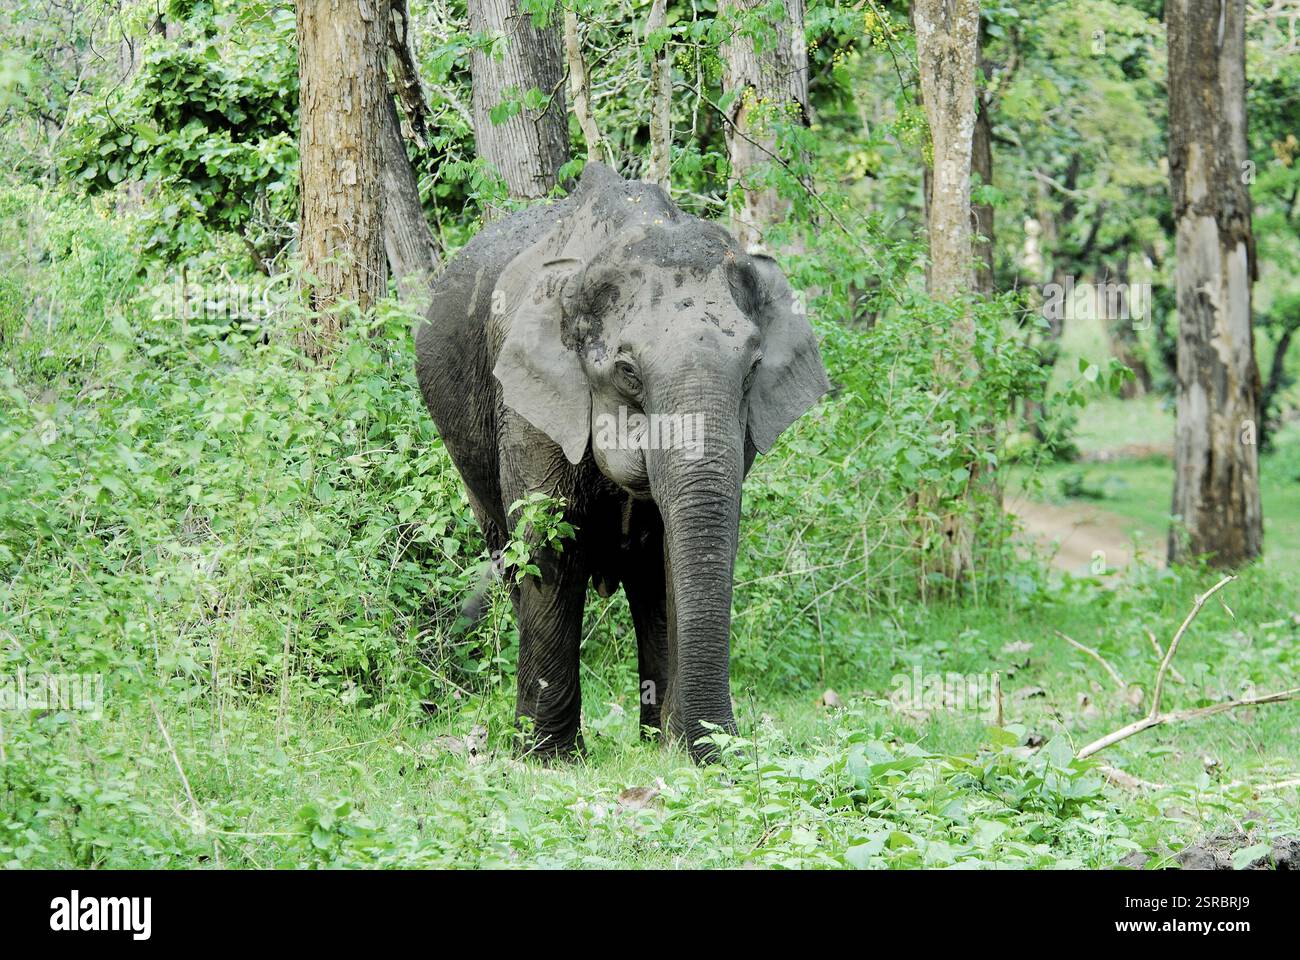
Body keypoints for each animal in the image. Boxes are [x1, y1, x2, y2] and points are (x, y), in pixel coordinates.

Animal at [415, 162, 830, 762]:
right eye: (628, 371)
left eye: (753, 369)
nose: (722, 748)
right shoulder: (528, 403)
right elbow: (549, 547)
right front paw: (550, 760)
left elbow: (674, 554)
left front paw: (681, 749)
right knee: (512, 554)